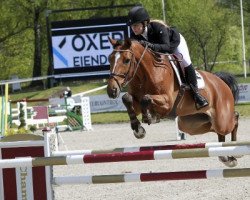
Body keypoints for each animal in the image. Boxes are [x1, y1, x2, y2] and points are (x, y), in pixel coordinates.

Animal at [107, 38, 240, 167]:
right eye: (110, 59)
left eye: (127, 60)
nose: (111, 91)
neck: (147, 73)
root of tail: (221, 82)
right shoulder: (137, 101)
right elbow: (127, 98)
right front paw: (138, 128)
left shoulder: (167, 102)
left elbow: (146, 98)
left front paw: (149, 117)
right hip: (192, 124)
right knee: (216, 130)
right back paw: (225, 156)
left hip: (221, 120)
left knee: (234, 119)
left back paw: (234, 153)